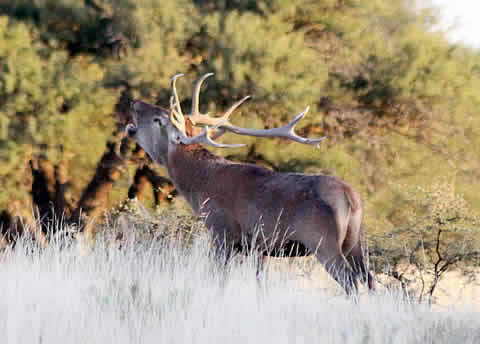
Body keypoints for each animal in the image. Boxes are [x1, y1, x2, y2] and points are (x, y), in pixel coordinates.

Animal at [125, 74, 376, 294]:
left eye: (159, 119)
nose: (134, 102)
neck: (200, 188)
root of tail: (351, 196)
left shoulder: (222, 232)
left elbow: (219, 279)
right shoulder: (258, 247)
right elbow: (260, 283)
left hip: (323, 241)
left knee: (351, 281)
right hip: (354, 242)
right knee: (369, 280)